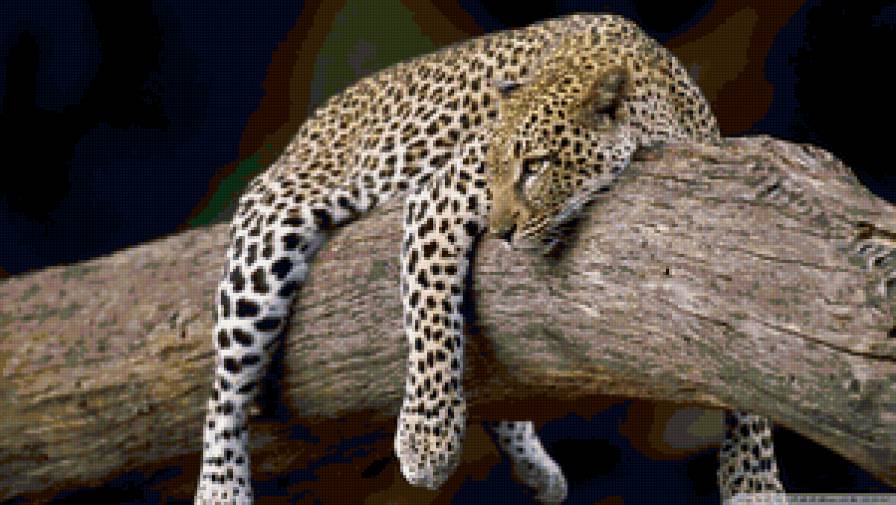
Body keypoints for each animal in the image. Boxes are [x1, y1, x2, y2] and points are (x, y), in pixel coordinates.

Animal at [195, 13, 783, 505]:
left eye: (536, 167)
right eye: (494, 168)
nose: (501, 233)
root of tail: (310, 123)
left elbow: (743, 355)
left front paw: (754, 481)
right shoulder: (438, 195)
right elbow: (431, 315)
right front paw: (426, 440)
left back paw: (537, 469)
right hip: (272, 232)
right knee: (225, 389)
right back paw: (220, 489)